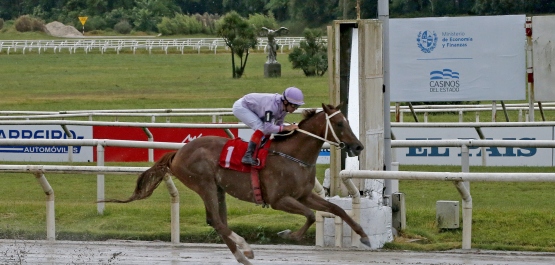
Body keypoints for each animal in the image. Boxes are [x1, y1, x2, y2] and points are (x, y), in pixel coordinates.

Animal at [104, 103, 372, 264]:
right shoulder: (279, 200)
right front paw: (289, 234)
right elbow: (308, 215)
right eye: (339, 123)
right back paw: (244, 251)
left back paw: (242, 252)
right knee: (217, 221)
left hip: (218, 188)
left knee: (217, 221)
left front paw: (364, 236)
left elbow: (335, 209)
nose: (358, 146)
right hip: (203, 184)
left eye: (348, 121)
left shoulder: (304, 194)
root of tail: (179, 152)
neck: (293, 155)